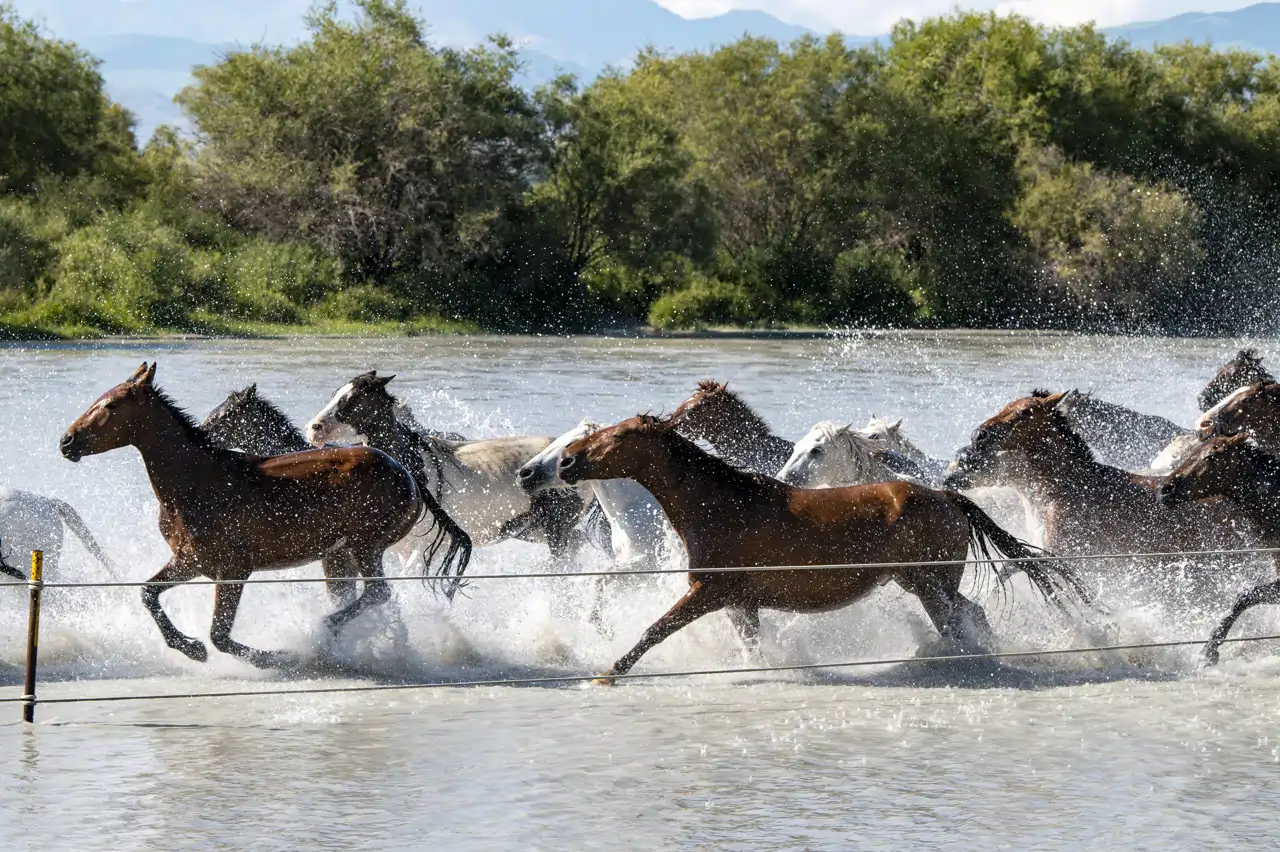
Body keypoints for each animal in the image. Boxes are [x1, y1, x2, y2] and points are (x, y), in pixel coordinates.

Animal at [59, 362, 470, 668]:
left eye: (111, 406)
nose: (66, 441)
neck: (195, 480)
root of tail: (408, 475)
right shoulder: (190, 561)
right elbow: (147, 593)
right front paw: (189, 647)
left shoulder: (233, 569)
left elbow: (220, 635)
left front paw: (276, 656)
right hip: (344, 553)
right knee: (373, 598)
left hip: (364, 545)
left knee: (378, 593)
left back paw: (323, 633)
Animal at [305, 371, 591, 560]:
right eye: (335, 395)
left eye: (352, 399)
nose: (313, 428)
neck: (414, 476)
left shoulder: (422, 549)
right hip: (530, 529)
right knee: (577, 544)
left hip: (557, 527)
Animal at [519, 421, 676, 634]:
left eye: (571, 444)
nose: (524, 474)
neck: (632, 510)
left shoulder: (650, 563)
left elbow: (600, 577)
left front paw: (600, 625)